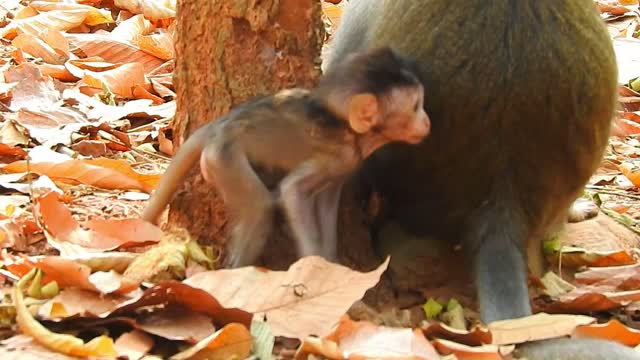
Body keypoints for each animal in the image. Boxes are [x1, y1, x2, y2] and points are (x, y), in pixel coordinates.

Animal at [141, 46, 430, 268]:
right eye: (416, 106)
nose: (426, 121)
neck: (347, 127)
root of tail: (221, 124)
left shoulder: (343, 165)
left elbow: (327, 200)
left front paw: (331, 262)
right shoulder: (336, 156)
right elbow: (292, 191)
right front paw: (314, 263)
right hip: (223, 160)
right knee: (259, 206)